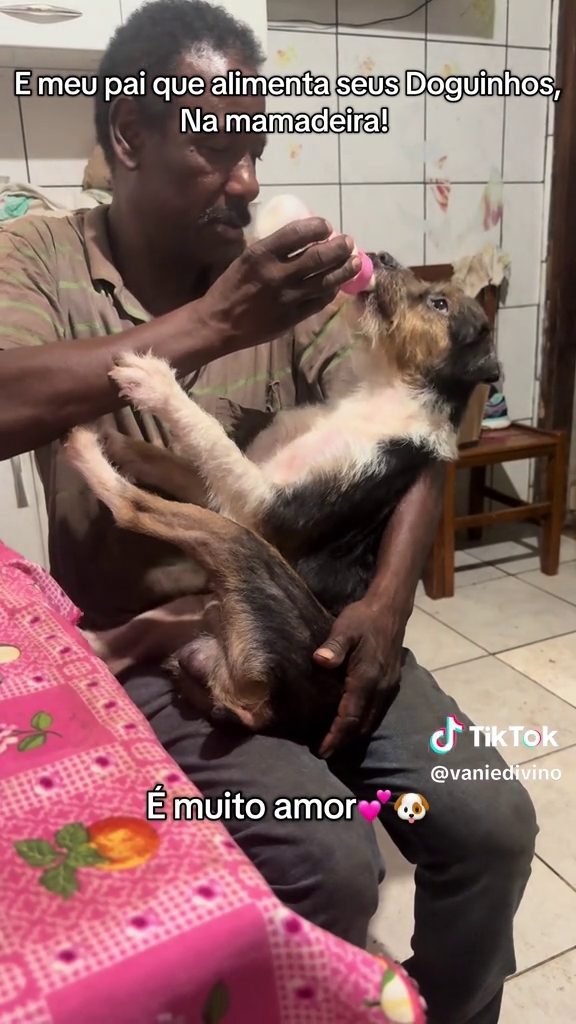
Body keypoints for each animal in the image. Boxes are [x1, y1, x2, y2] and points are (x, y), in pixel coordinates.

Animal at [66, 255, 500, 750]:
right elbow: (174, 458)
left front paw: (154, 384)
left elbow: (207, 434)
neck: (382, 388)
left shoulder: (266, 509)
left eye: (439, 304)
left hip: (240, 549)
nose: (384, 258)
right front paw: (120, 443)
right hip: (190, 608)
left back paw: (85, 445)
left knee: (133, 507)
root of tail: (271, 713)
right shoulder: (237, 482)